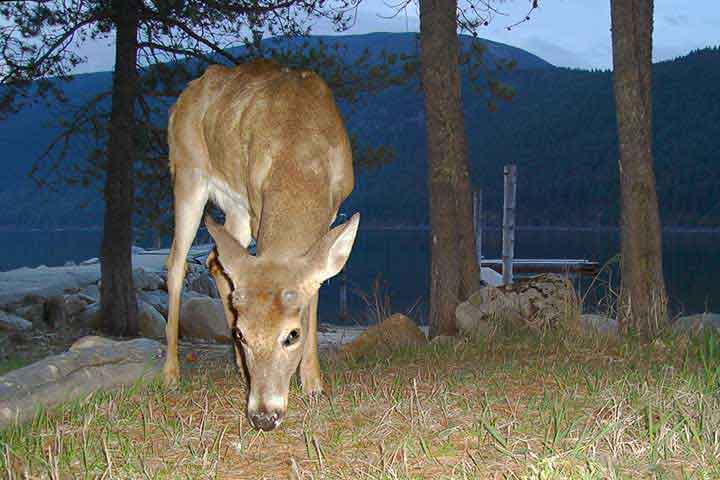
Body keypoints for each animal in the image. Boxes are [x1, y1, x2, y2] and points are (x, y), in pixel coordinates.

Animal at [162, 59, 356, 432]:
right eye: (241, 334)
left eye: (292, 335)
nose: (264, 416)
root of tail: (183, 98)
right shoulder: (256, 206)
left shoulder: (331, 211)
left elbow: (315, 293)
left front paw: (314, 383)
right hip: (187, 173)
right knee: (176, 263)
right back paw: (171, 373)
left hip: (232, 205)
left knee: (214, 259)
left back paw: (236, 368)